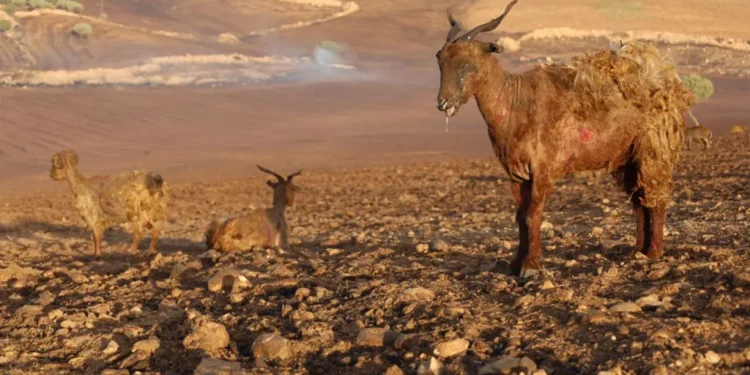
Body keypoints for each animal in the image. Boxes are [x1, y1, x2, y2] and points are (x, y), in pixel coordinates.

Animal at [434, 0, 700, 276]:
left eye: (468, 65)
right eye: (440, 60)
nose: (443, 103)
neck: (516, 103)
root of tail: (667, 84)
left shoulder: (542, 169)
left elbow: (532, 215)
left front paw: (530, 266)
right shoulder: (517, 173)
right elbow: (519, 217)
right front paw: (515, 264)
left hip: (654, 151)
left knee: (655, 200)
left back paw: (654, 253)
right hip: (628, 158)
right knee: (639, 202)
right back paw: (638, 252)